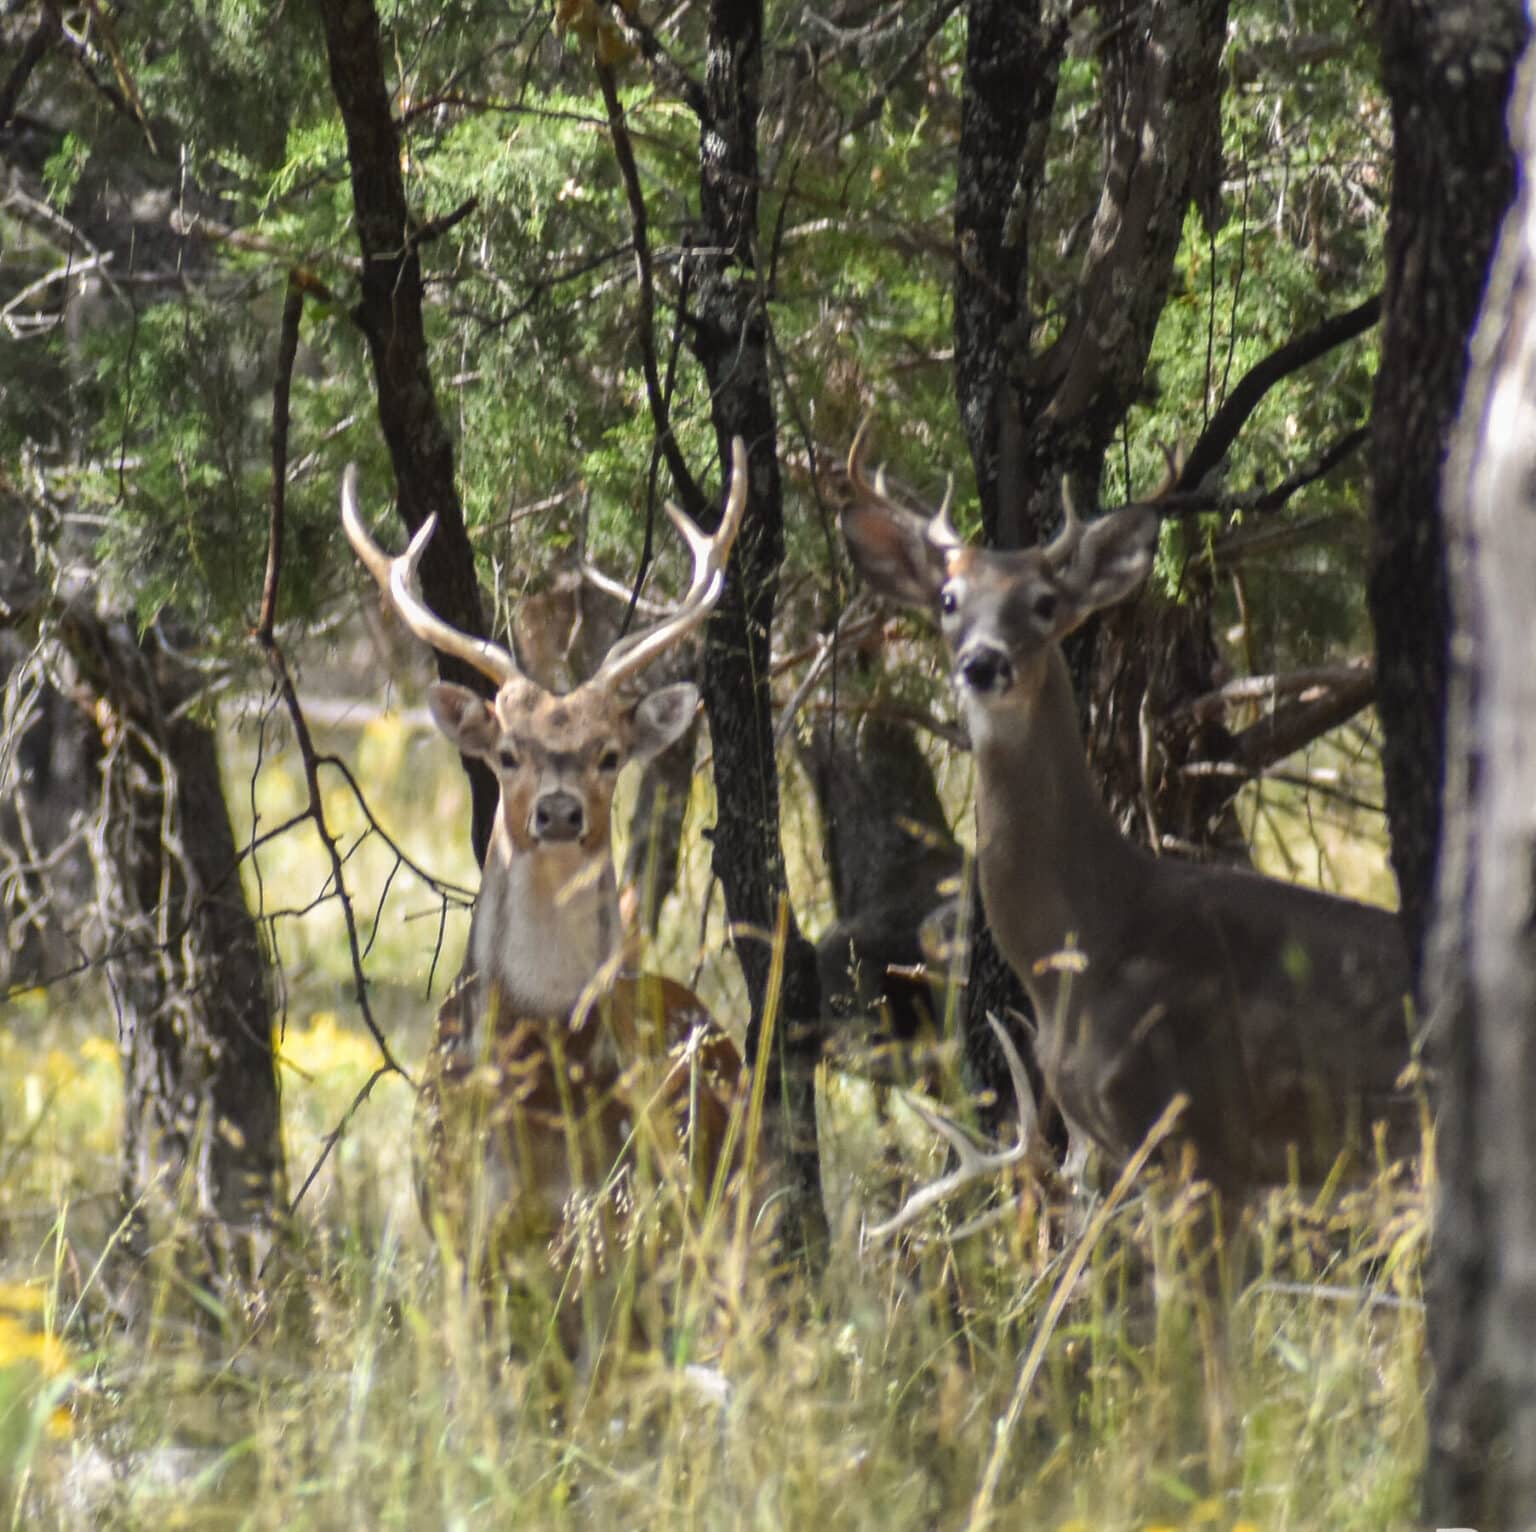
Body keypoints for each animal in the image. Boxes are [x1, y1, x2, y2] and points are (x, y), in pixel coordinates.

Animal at [348, 442, 755, 1352]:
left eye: (608, 753)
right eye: (507, 752)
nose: (560, 811)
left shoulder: (614, 1220)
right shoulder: (458, 1221)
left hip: (714, 1206)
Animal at [847, 424, 1419, 1204]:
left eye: (1045, 602)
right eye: (948, 597)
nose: (983, 663)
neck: (1089, 941)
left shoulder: (1201, 1134)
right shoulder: (1124, 1145)